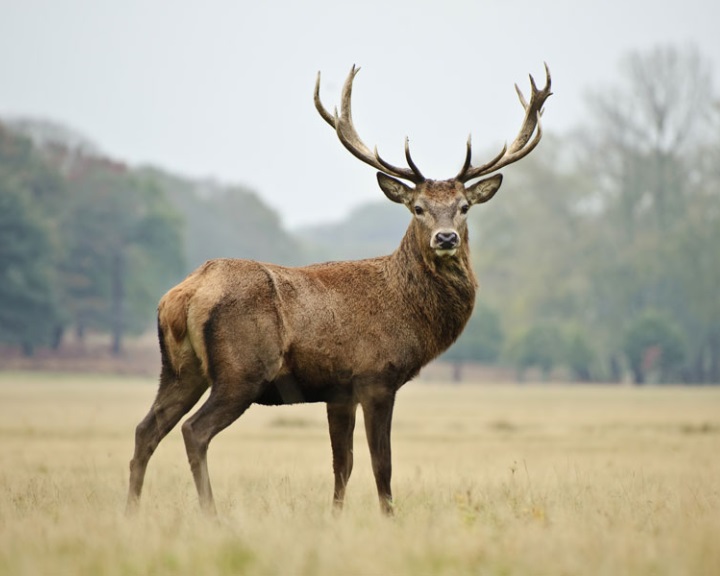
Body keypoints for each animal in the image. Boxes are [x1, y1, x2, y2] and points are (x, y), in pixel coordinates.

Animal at [126, 64, 552, 516]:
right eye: (417, 208)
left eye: (464, 207)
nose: (446, 238)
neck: (408, 312)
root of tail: (183, 295)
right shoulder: (376, 376)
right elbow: (381, 463)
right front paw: (388, 517)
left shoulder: (338, 391)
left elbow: (342, 464)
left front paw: (335, 516)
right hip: (241, 370)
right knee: (194, 431)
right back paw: (211, 514)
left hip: (179, 369)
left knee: (146, 429)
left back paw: (131, 510)